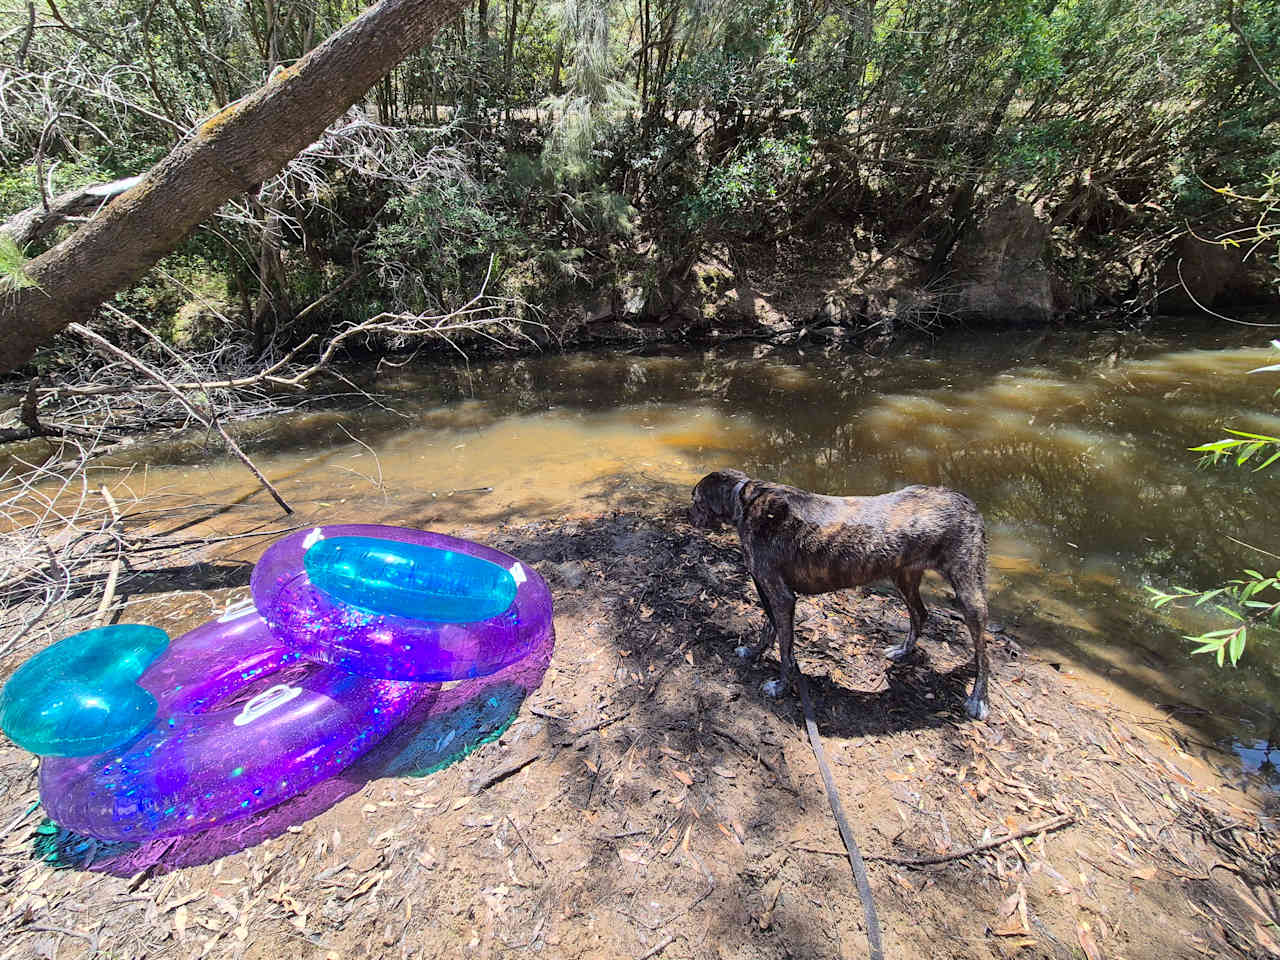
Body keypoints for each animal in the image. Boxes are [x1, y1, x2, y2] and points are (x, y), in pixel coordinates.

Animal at [691, 471, 988, 727]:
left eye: (695, 499)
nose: (687, 514)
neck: (744, 501)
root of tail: (966, 501)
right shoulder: (767, 591)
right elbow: (768, 630)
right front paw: (754, 653)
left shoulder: (782, 597)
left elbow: (786, 650)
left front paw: (781, 686)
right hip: (903, 577)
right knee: (920, 614)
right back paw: (903, 651)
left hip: (969, 593)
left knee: (984, 654)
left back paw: (979, 699)